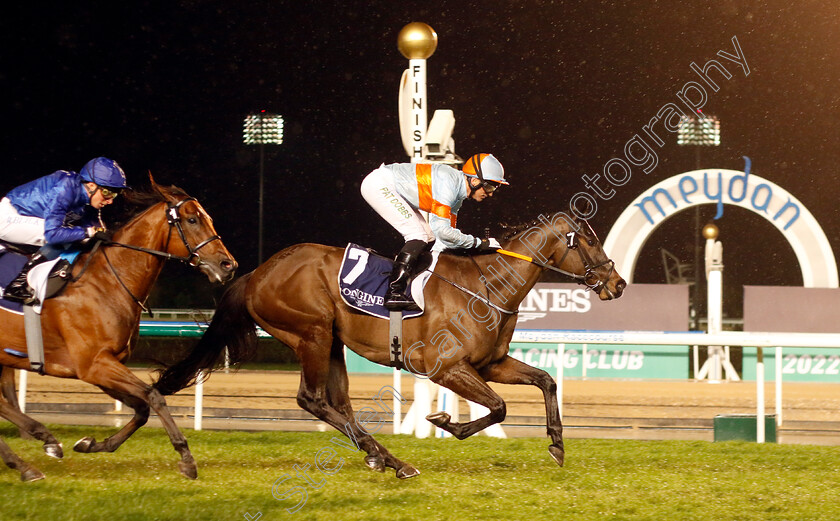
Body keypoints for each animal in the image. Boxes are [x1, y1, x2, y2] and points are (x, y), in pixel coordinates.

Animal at [0, 177, 236, 482]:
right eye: (192, 219)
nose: (228, 264)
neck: (107, 280)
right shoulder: (94, 364)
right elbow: (154, 396)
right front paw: (186, 459)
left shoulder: (104, 365)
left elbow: (142, 407)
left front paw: (92, 444)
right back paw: (39, 444)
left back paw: (29, 458)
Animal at [156, 210, 624, 476]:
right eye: (588, 240)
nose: (617, 284)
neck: (486, 286)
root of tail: (258, 272)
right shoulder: (445, 367)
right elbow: (498, 407)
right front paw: (445, 422)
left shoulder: (491, 363)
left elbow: (545, 381)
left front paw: (557, 444)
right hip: (311, 333)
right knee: (312, 399)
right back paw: (388, 458)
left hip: (331, 342)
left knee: (338, 404)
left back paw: (384, 458)